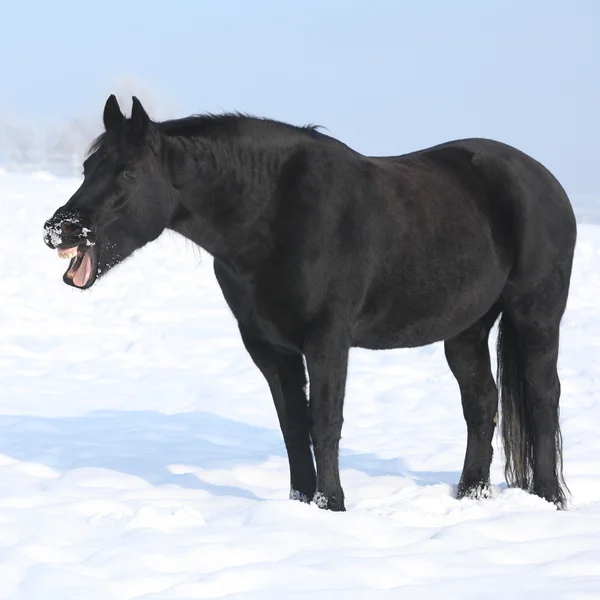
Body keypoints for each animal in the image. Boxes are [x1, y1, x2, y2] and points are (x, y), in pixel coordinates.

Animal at [42, 97, 576, 510]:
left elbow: (325, 421)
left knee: (542, 396)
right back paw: (470, 494)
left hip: (536, 316)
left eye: (128, 173)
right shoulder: (268, 347)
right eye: (88, 168)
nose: (60, 229)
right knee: (482, 401)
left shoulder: (326, 341)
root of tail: (545, 180)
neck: (276, 212)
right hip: (465, 330)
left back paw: (549, 497)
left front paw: (331, 503)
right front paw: (301, 503)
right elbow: (293, 425)